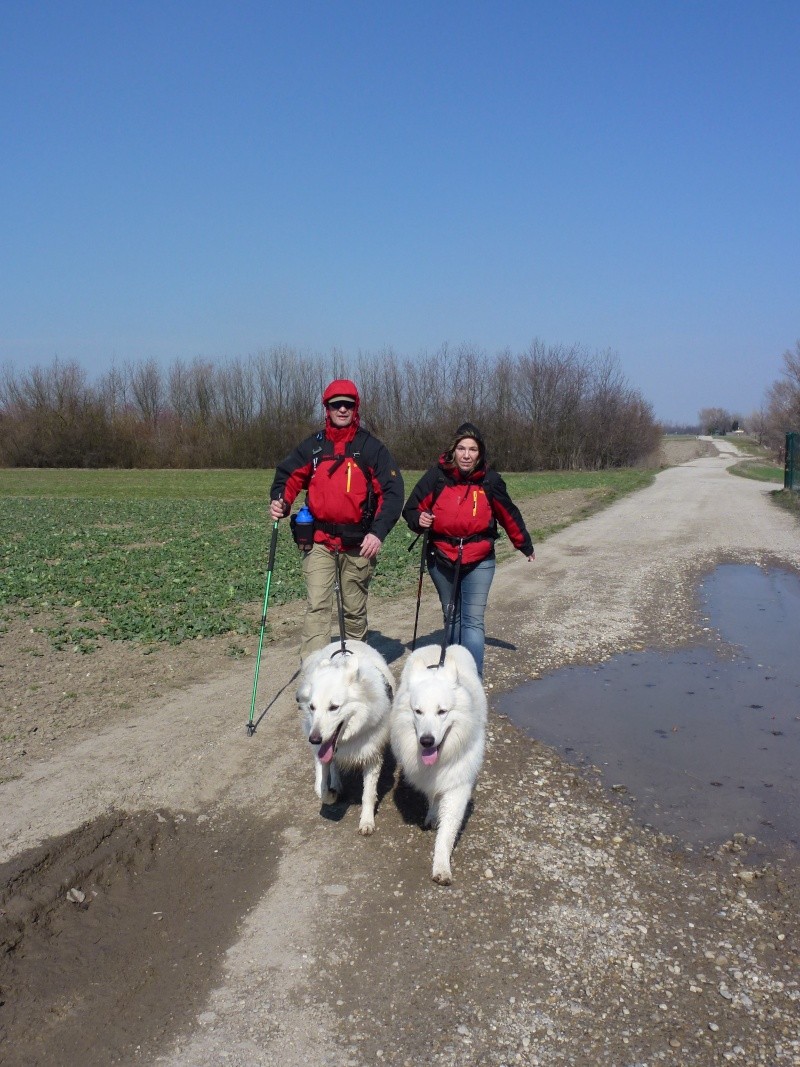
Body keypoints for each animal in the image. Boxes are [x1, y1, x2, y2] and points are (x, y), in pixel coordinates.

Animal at [294, 640, 394, 832]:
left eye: (334, 707)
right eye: (312, 707)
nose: (314, 740)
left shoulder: (372, 756)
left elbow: (367, 794)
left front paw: (367, 822)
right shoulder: (321, 755)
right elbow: (320, 788)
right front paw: (330, 795)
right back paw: (336, 785)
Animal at [390, 640, 488, 883]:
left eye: (442, 711)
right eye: (418, 711)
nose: (426, 740)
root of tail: (443, 645)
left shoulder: (458, 786)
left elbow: (447, 831)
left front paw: (441, 867)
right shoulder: (427, 776)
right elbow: (432, 796)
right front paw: (433, 815)